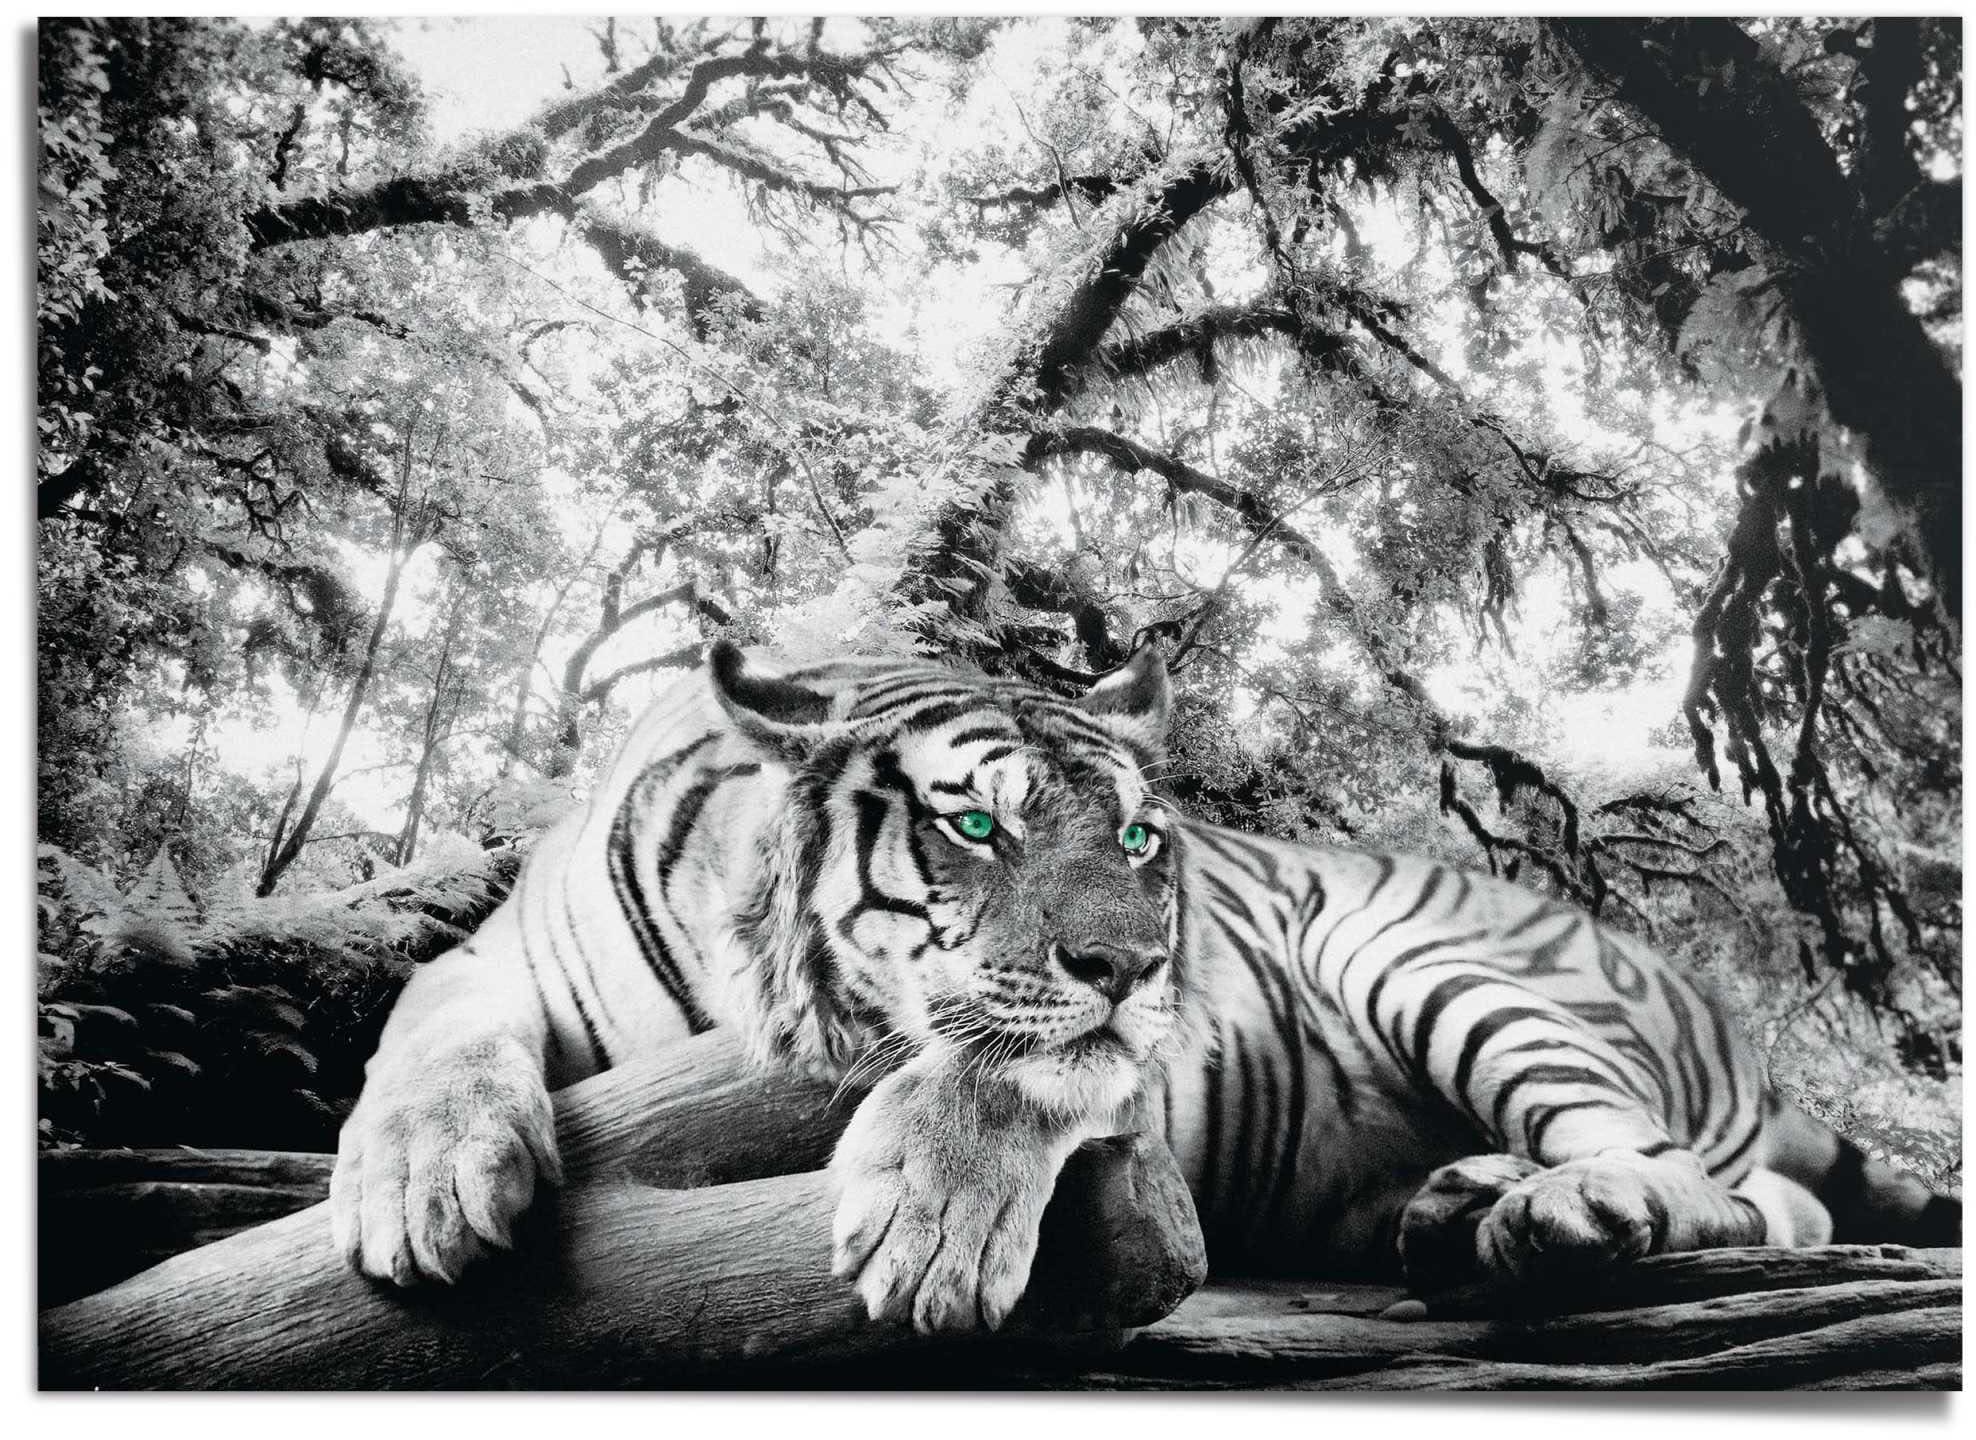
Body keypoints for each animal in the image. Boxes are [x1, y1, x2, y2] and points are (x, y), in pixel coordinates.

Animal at [330, 641, 1959, 1330]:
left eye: (1132, 837)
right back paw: (1457, 1203)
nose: (1133, 962)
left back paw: (1565, 1211)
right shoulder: (495, 958)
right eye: (975, 826)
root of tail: (1724, 1013)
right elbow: (429, 1027)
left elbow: (1007, 1066)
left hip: (1429, 961)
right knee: (1777, 1201)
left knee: (1694, 1176)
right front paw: (422, 1184)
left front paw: (930, 1230)